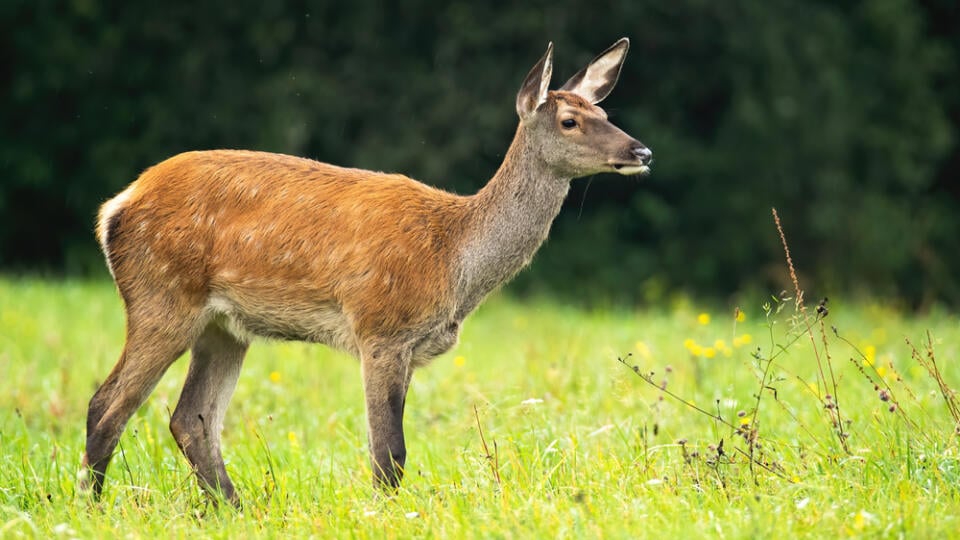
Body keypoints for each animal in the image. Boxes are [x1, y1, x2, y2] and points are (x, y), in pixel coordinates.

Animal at [80, 37, 652, 502]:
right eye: (570, 121)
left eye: (604, 110)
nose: (641, 150)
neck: (454, 259)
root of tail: (115, 208)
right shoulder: (381, 328)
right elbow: (389, 452)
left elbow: (388, 452)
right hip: (162, 296)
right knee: (107, 405)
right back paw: (94, 506)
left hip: (224, 327)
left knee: (191, 420)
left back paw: (232, 508)